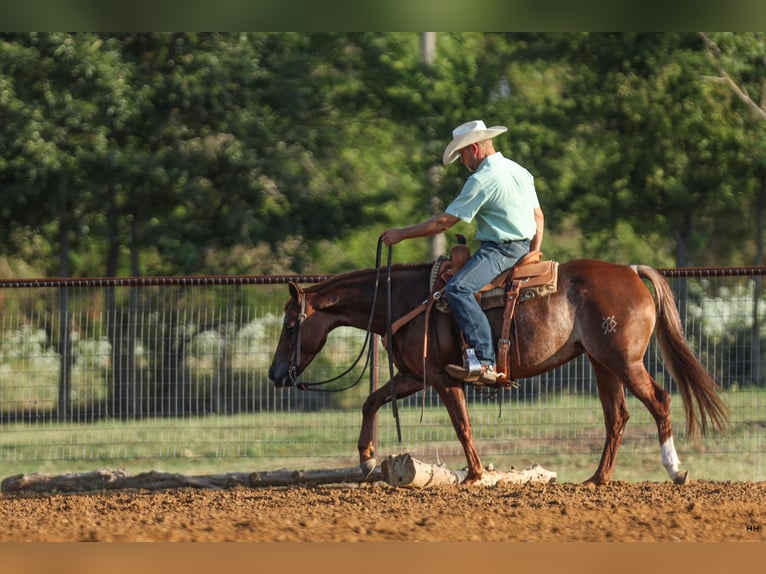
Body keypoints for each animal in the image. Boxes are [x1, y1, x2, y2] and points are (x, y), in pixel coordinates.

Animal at [270, 258, 732, 488]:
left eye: (291, 325)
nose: (276, 375)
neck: (405, 299)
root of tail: (631, 271)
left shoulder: (443, 379)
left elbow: (462, 426)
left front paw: (474, 476)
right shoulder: (416, 377)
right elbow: (371, 400)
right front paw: (366, 457)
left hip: (624, 362)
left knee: (660, 401)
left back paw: (675, 470)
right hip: (601, 364)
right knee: (616, 416)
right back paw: (597, 479)